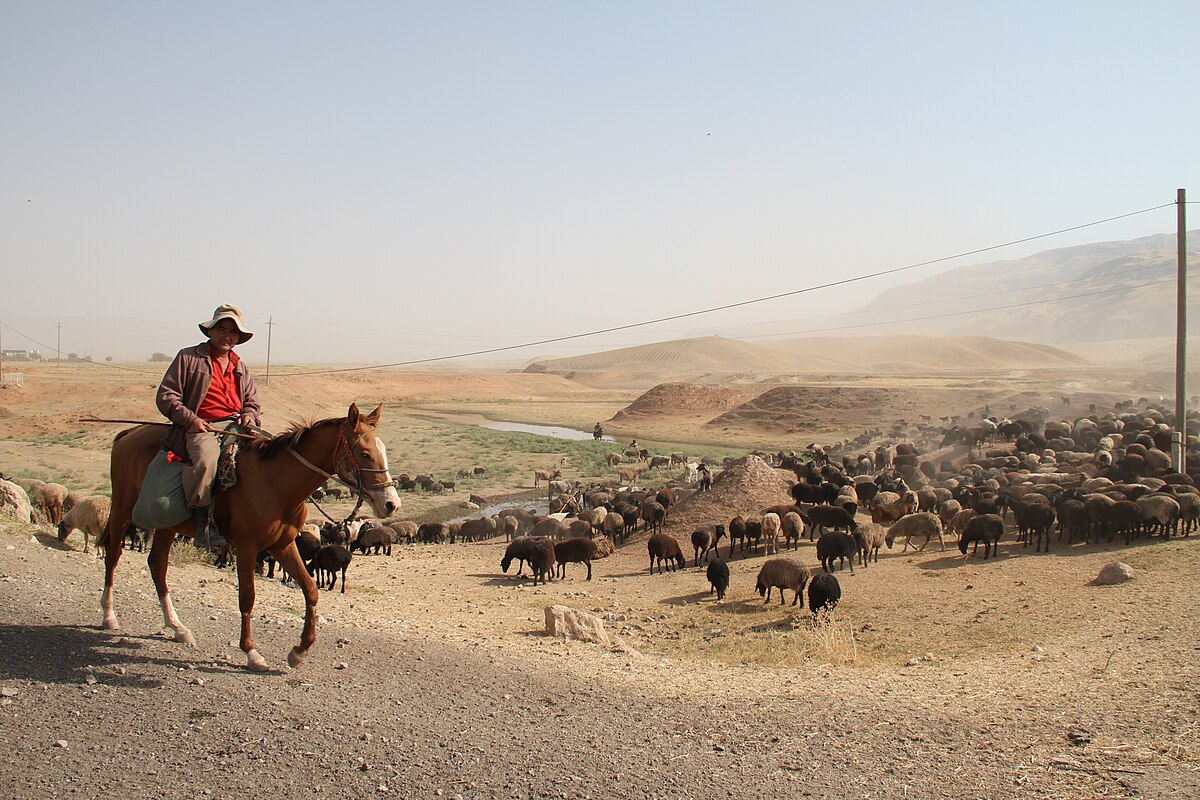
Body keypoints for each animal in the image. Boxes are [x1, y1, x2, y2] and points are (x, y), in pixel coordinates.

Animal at [100, 402, 400, 671]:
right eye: (364, 453)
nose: (391, 503)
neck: (276, 484)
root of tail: (129, 434)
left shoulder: (283, 544)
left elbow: (311, 590)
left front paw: (299, 651)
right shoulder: (246, 547)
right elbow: (247, 596)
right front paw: (251, 653)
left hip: (166, 525)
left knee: (157, 564)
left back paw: (177, 627)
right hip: (122, 509)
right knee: (113, 554)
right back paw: (109, 616)